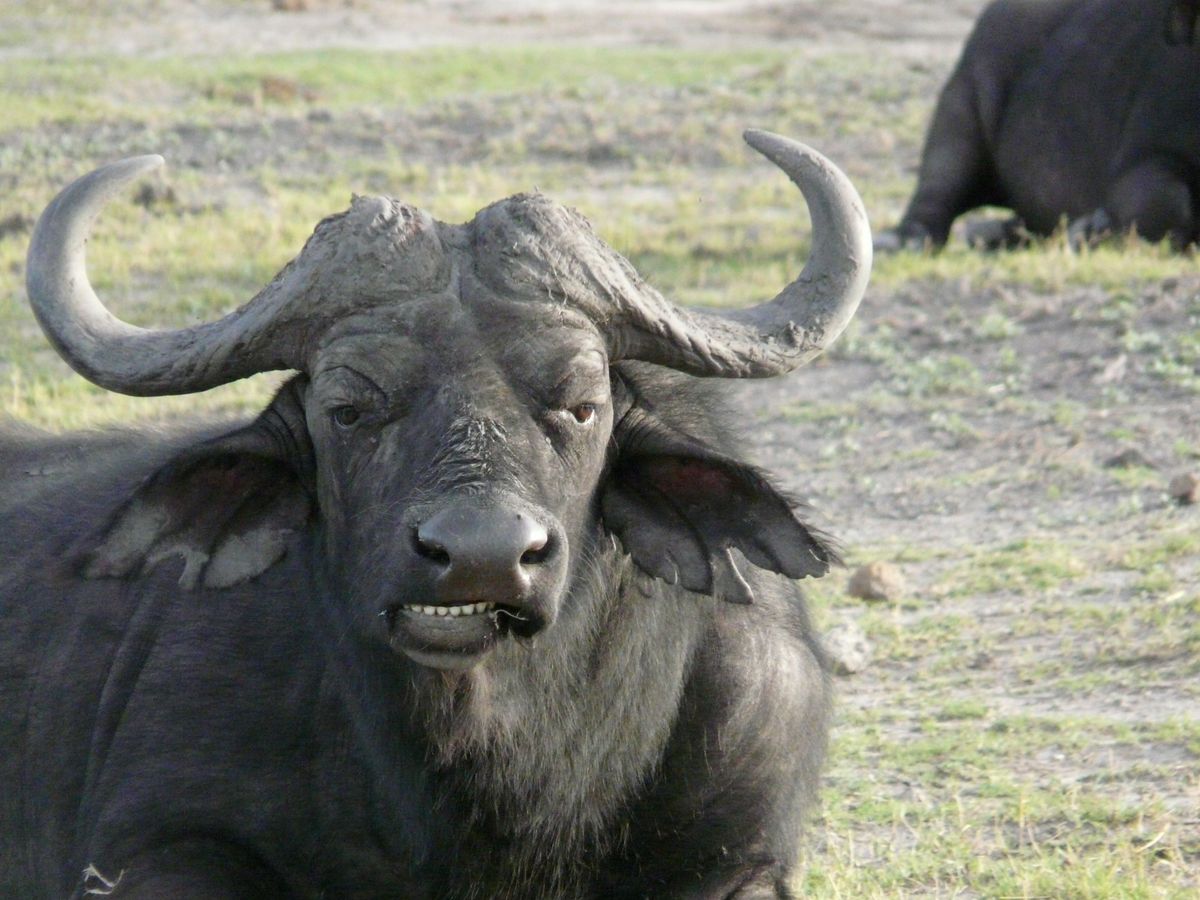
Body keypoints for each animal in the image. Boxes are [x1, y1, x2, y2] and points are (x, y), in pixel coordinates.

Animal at [876, 0, 1200, 251]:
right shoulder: (1143, 155)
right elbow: (1167, 200)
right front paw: (1089, 230)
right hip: (963, 102)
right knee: (939, 185)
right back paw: (905, 240)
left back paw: (994, 234)